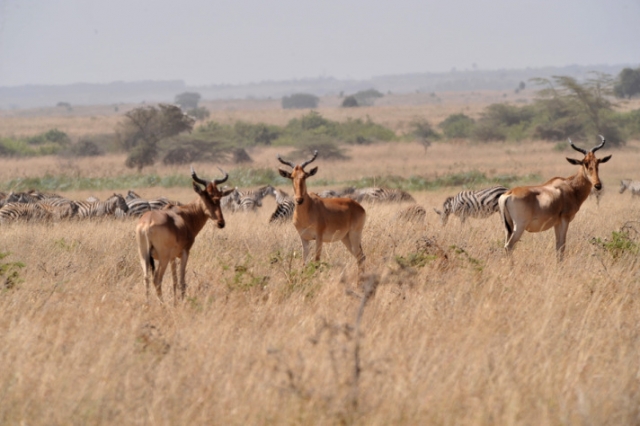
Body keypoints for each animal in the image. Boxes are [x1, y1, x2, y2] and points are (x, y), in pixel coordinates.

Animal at [136, 166, 235, 302]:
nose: (220, 223)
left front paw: (176, 301)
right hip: (163, 257)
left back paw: (148, 303)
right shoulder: (184, 252)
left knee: (146, 278)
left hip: (144, 255)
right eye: (206, 196)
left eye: (219, 197)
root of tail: (147, 223)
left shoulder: (172, 257)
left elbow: (174, 281)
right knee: (156, 279)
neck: (185, 215)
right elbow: (182, 280)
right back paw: (162, 304)